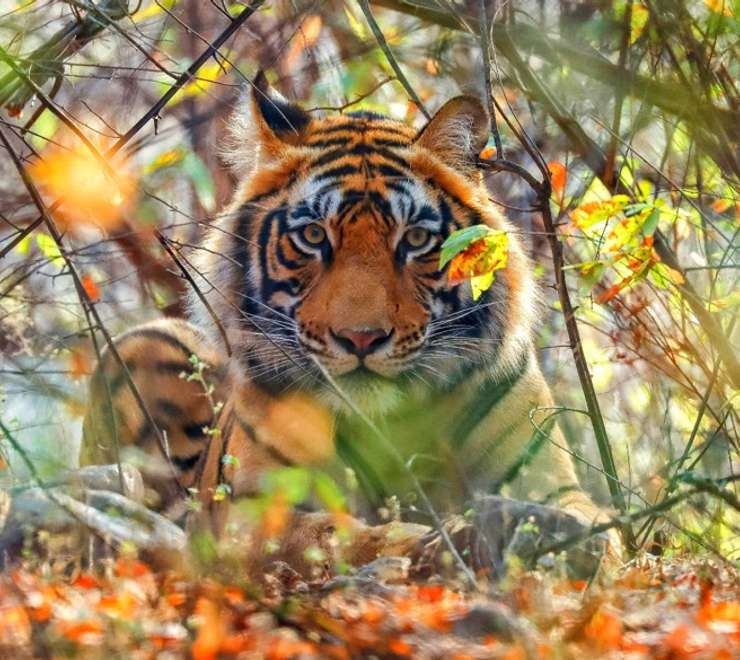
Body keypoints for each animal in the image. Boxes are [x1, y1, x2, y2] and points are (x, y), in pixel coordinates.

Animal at [81, 76, 617, 569]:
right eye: (314, 236)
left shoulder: (549, 482)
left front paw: (555, 536)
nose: (362, 338)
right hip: (143, 342)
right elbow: (331, 535)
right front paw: (429, 542)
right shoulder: (250, 510)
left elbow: (597, 525)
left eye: (416, 238)